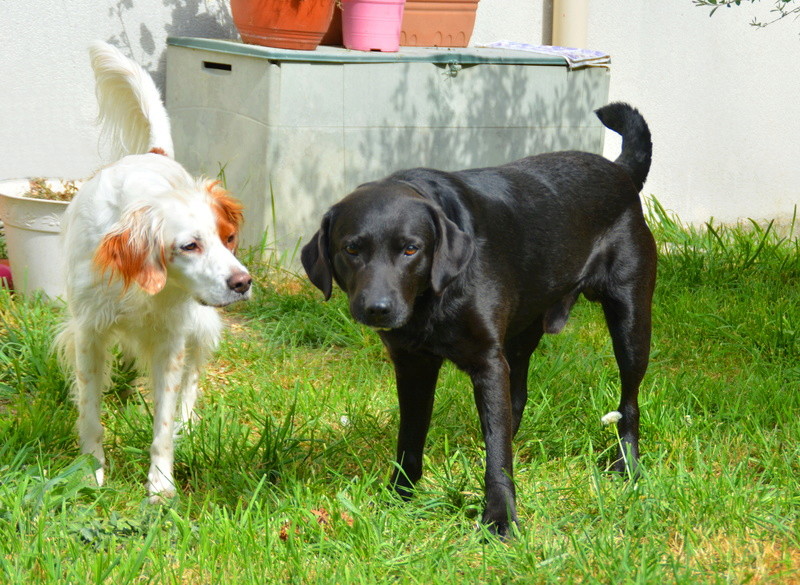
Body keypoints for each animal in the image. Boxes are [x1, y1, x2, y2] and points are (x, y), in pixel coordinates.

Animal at [57, 41, 250, 500]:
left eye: (228, 238)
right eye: (189, 245)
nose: (243, 283)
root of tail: (152, 154)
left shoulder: (171, 340)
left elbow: (162, 424)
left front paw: (161, 486)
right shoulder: (88, 333)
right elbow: (90, 411)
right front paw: (90, 471)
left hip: (201, 324)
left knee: (193, 380)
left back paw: (188, 424)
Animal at [302, 102, 656, 536]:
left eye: (410, 249)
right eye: (351, 249)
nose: (377, 308)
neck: (431, 299)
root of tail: (620, 171)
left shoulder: (487, 361)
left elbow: (497, 455)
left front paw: (500, 518)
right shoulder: (413, 364)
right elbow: (411, 437)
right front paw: (399, 497)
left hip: (630, 322)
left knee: (629, 403)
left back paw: (628, 466)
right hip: (522, 334)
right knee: (515, 402)